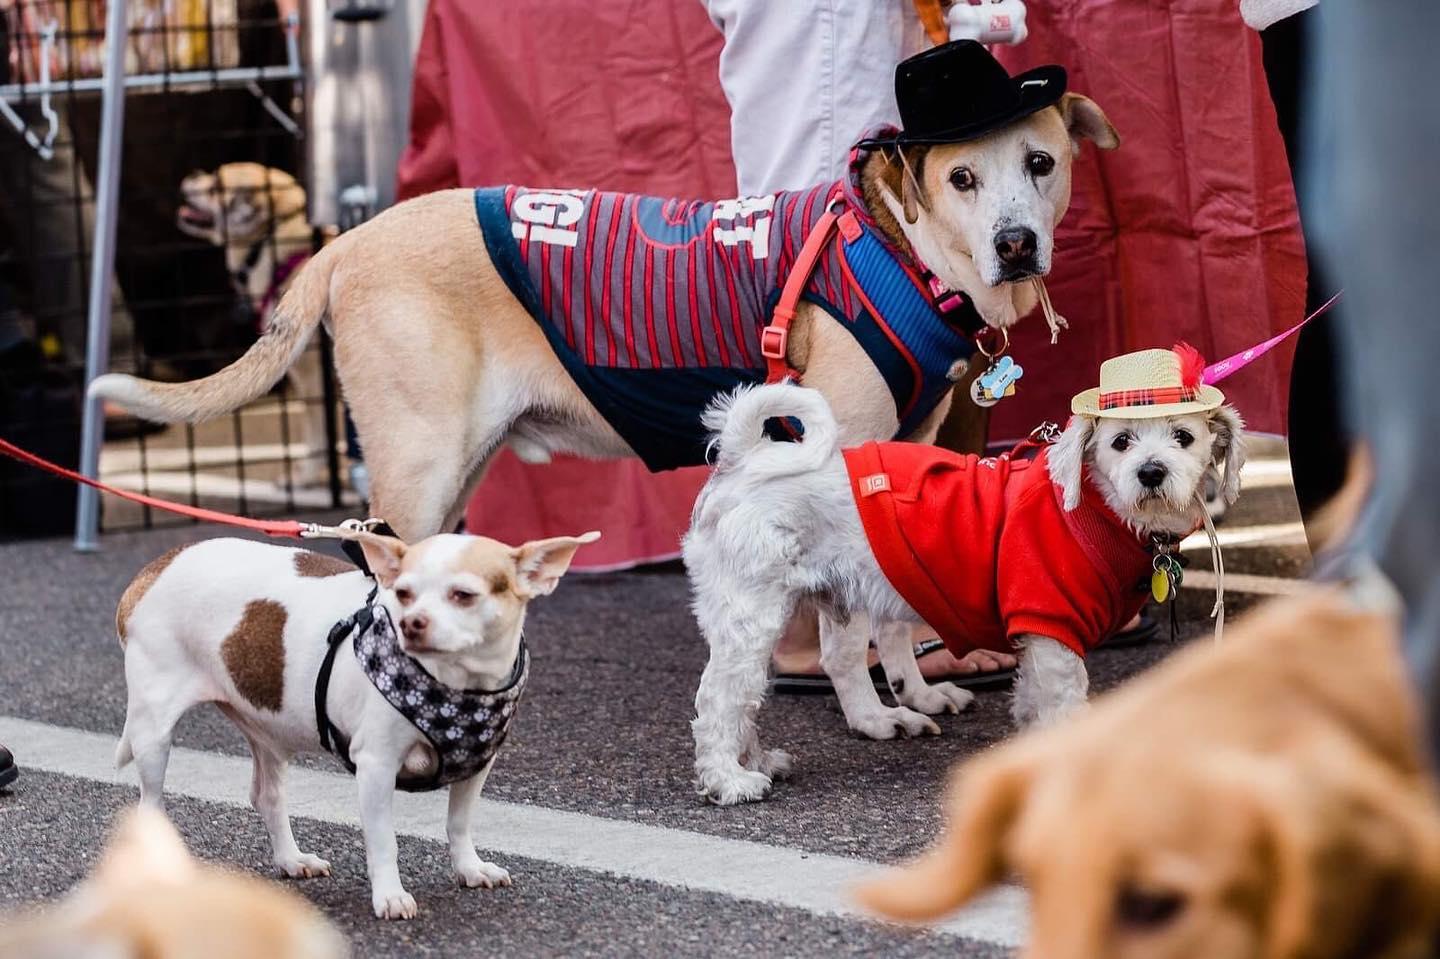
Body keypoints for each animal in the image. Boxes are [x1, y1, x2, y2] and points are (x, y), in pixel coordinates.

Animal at [679, 347, 1244, 800]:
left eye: (1184, 436)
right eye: (1121, 441)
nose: (1152, 471)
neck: (1094, 507)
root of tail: (746, 459)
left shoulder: (1036, 641)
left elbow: (1033, 704)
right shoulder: (1052, 625)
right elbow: (1064, 706)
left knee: (756, 694)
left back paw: (761, 760)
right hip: (750, 615)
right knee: (719, 698)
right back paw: (730, 780)